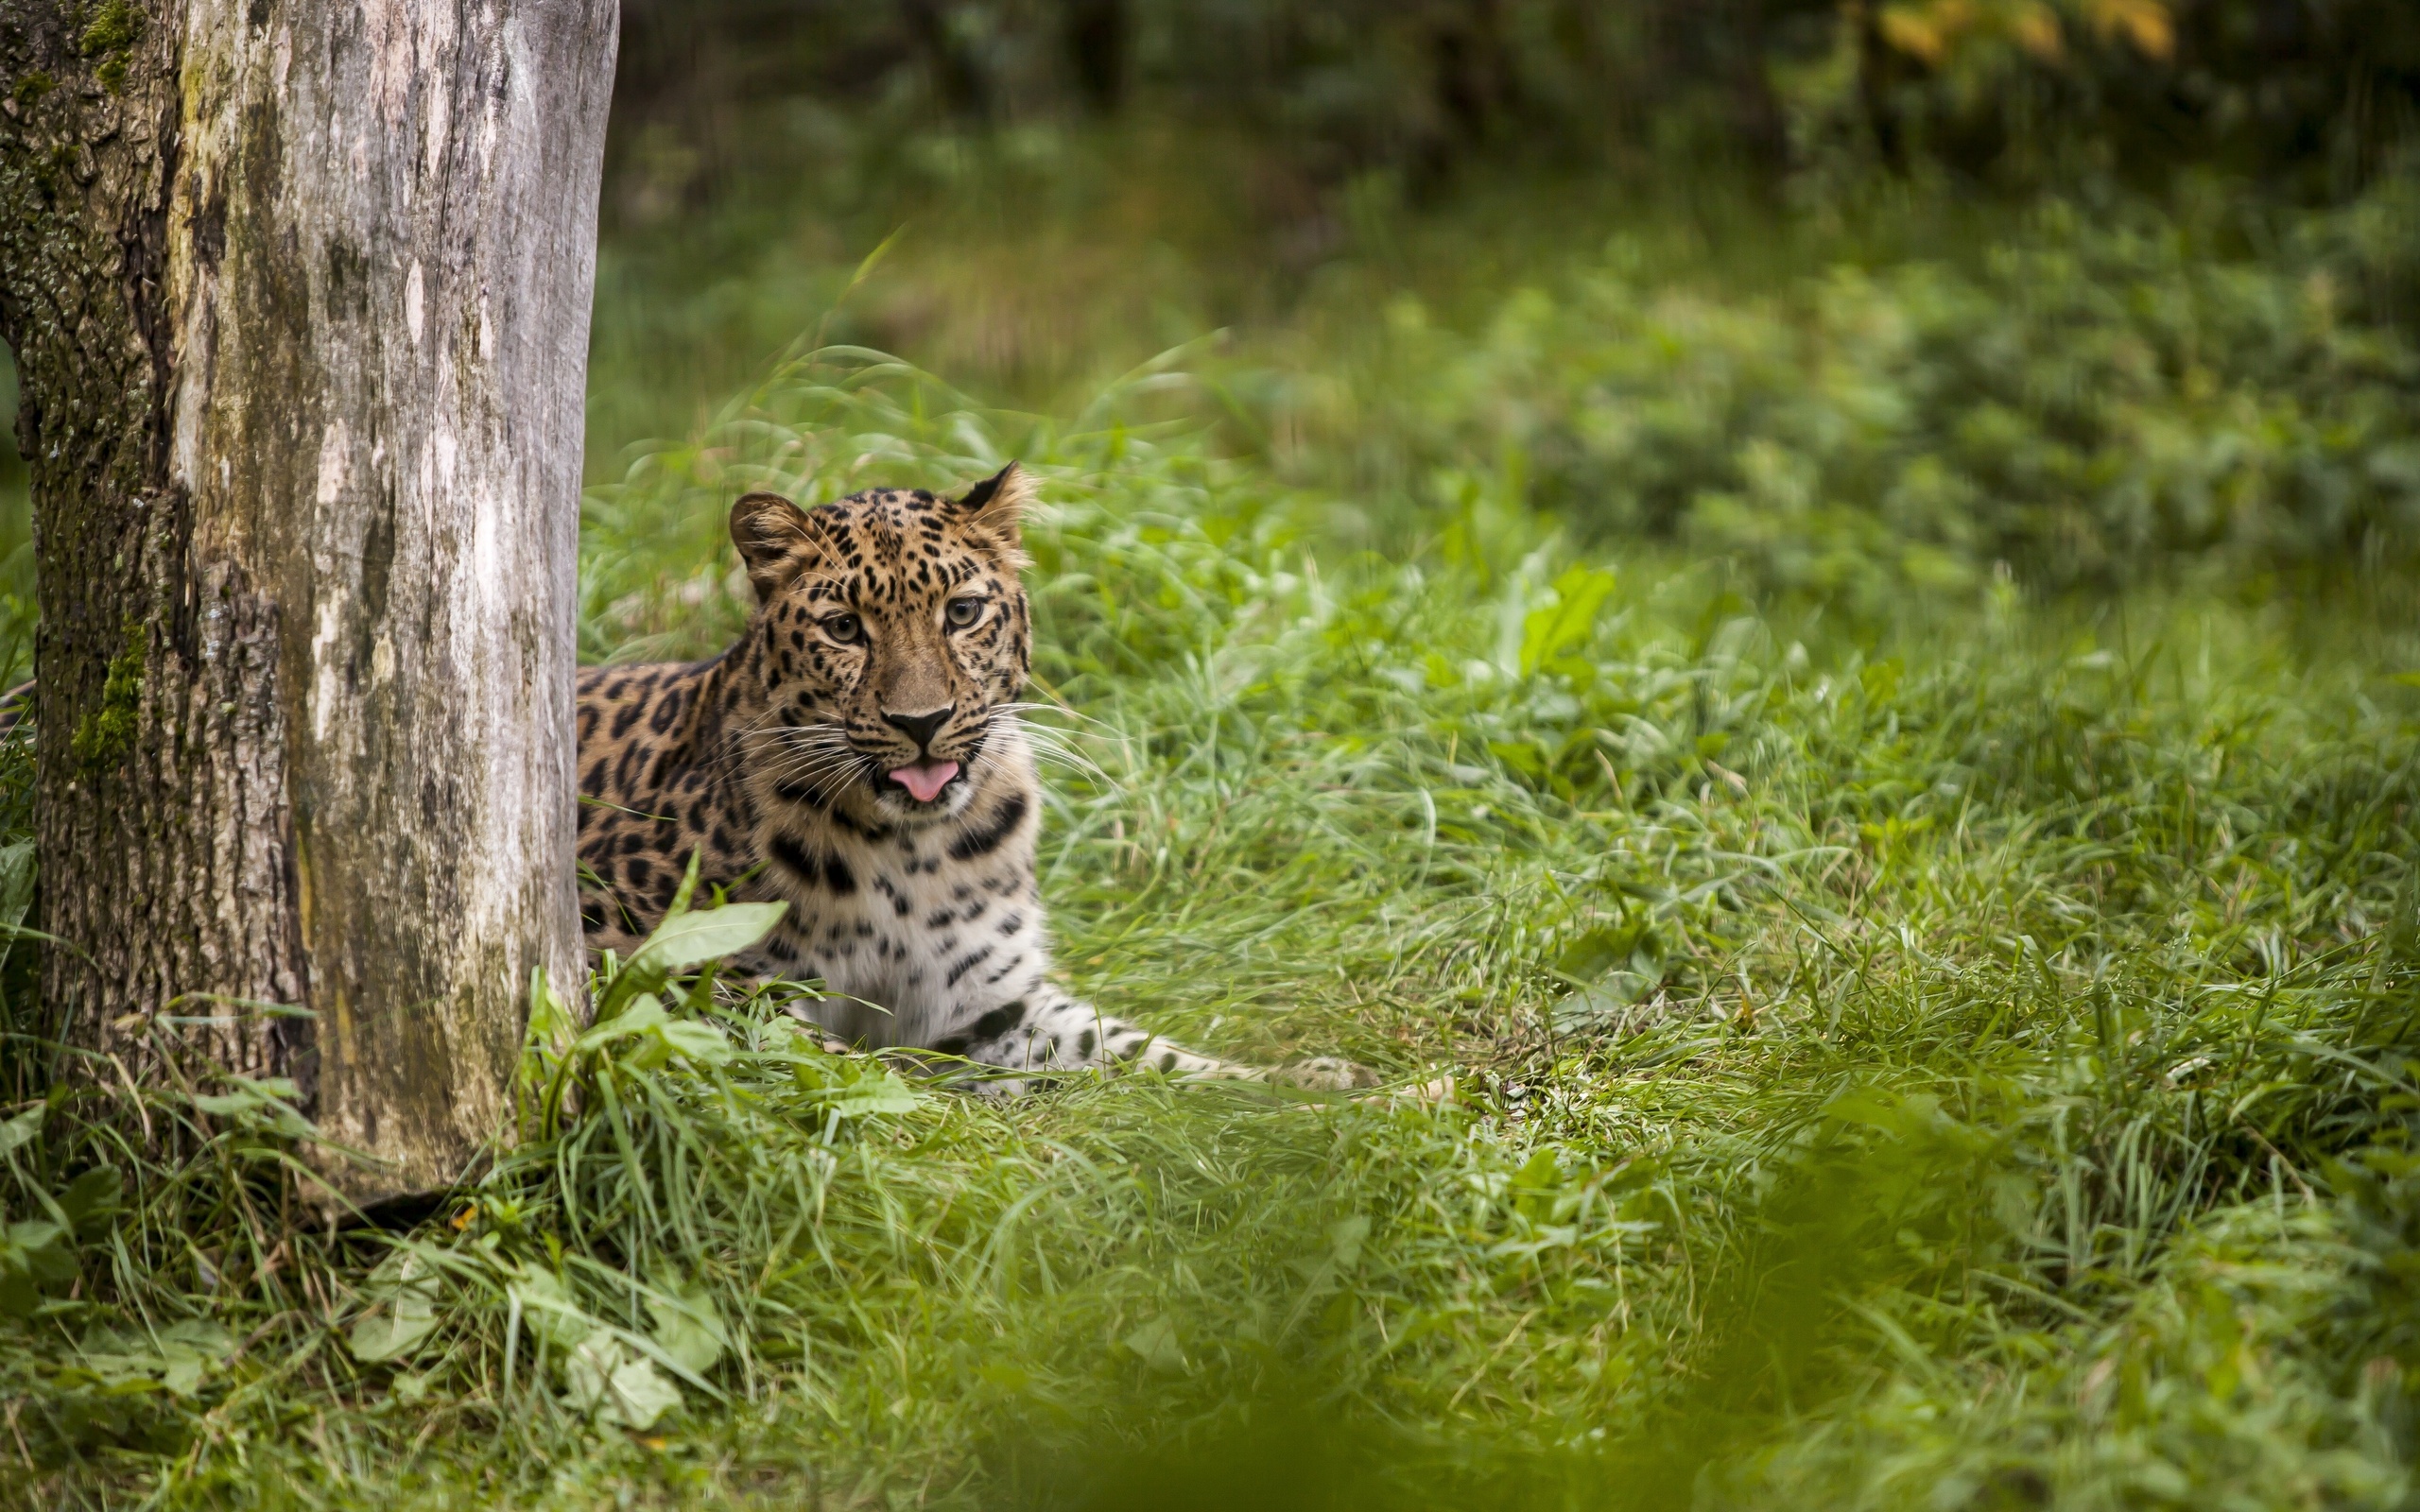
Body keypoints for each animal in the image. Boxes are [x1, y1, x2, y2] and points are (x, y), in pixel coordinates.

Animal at [571, 467, 1384, 1089]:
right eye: (844, 629)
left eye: (962, 612)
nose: (922, 722)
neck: (906, 854)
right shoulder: (642, 948)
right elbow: (828, 1056)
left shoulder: (991, 1003)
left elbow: (1137, 1050)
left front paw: (1313, 1086)